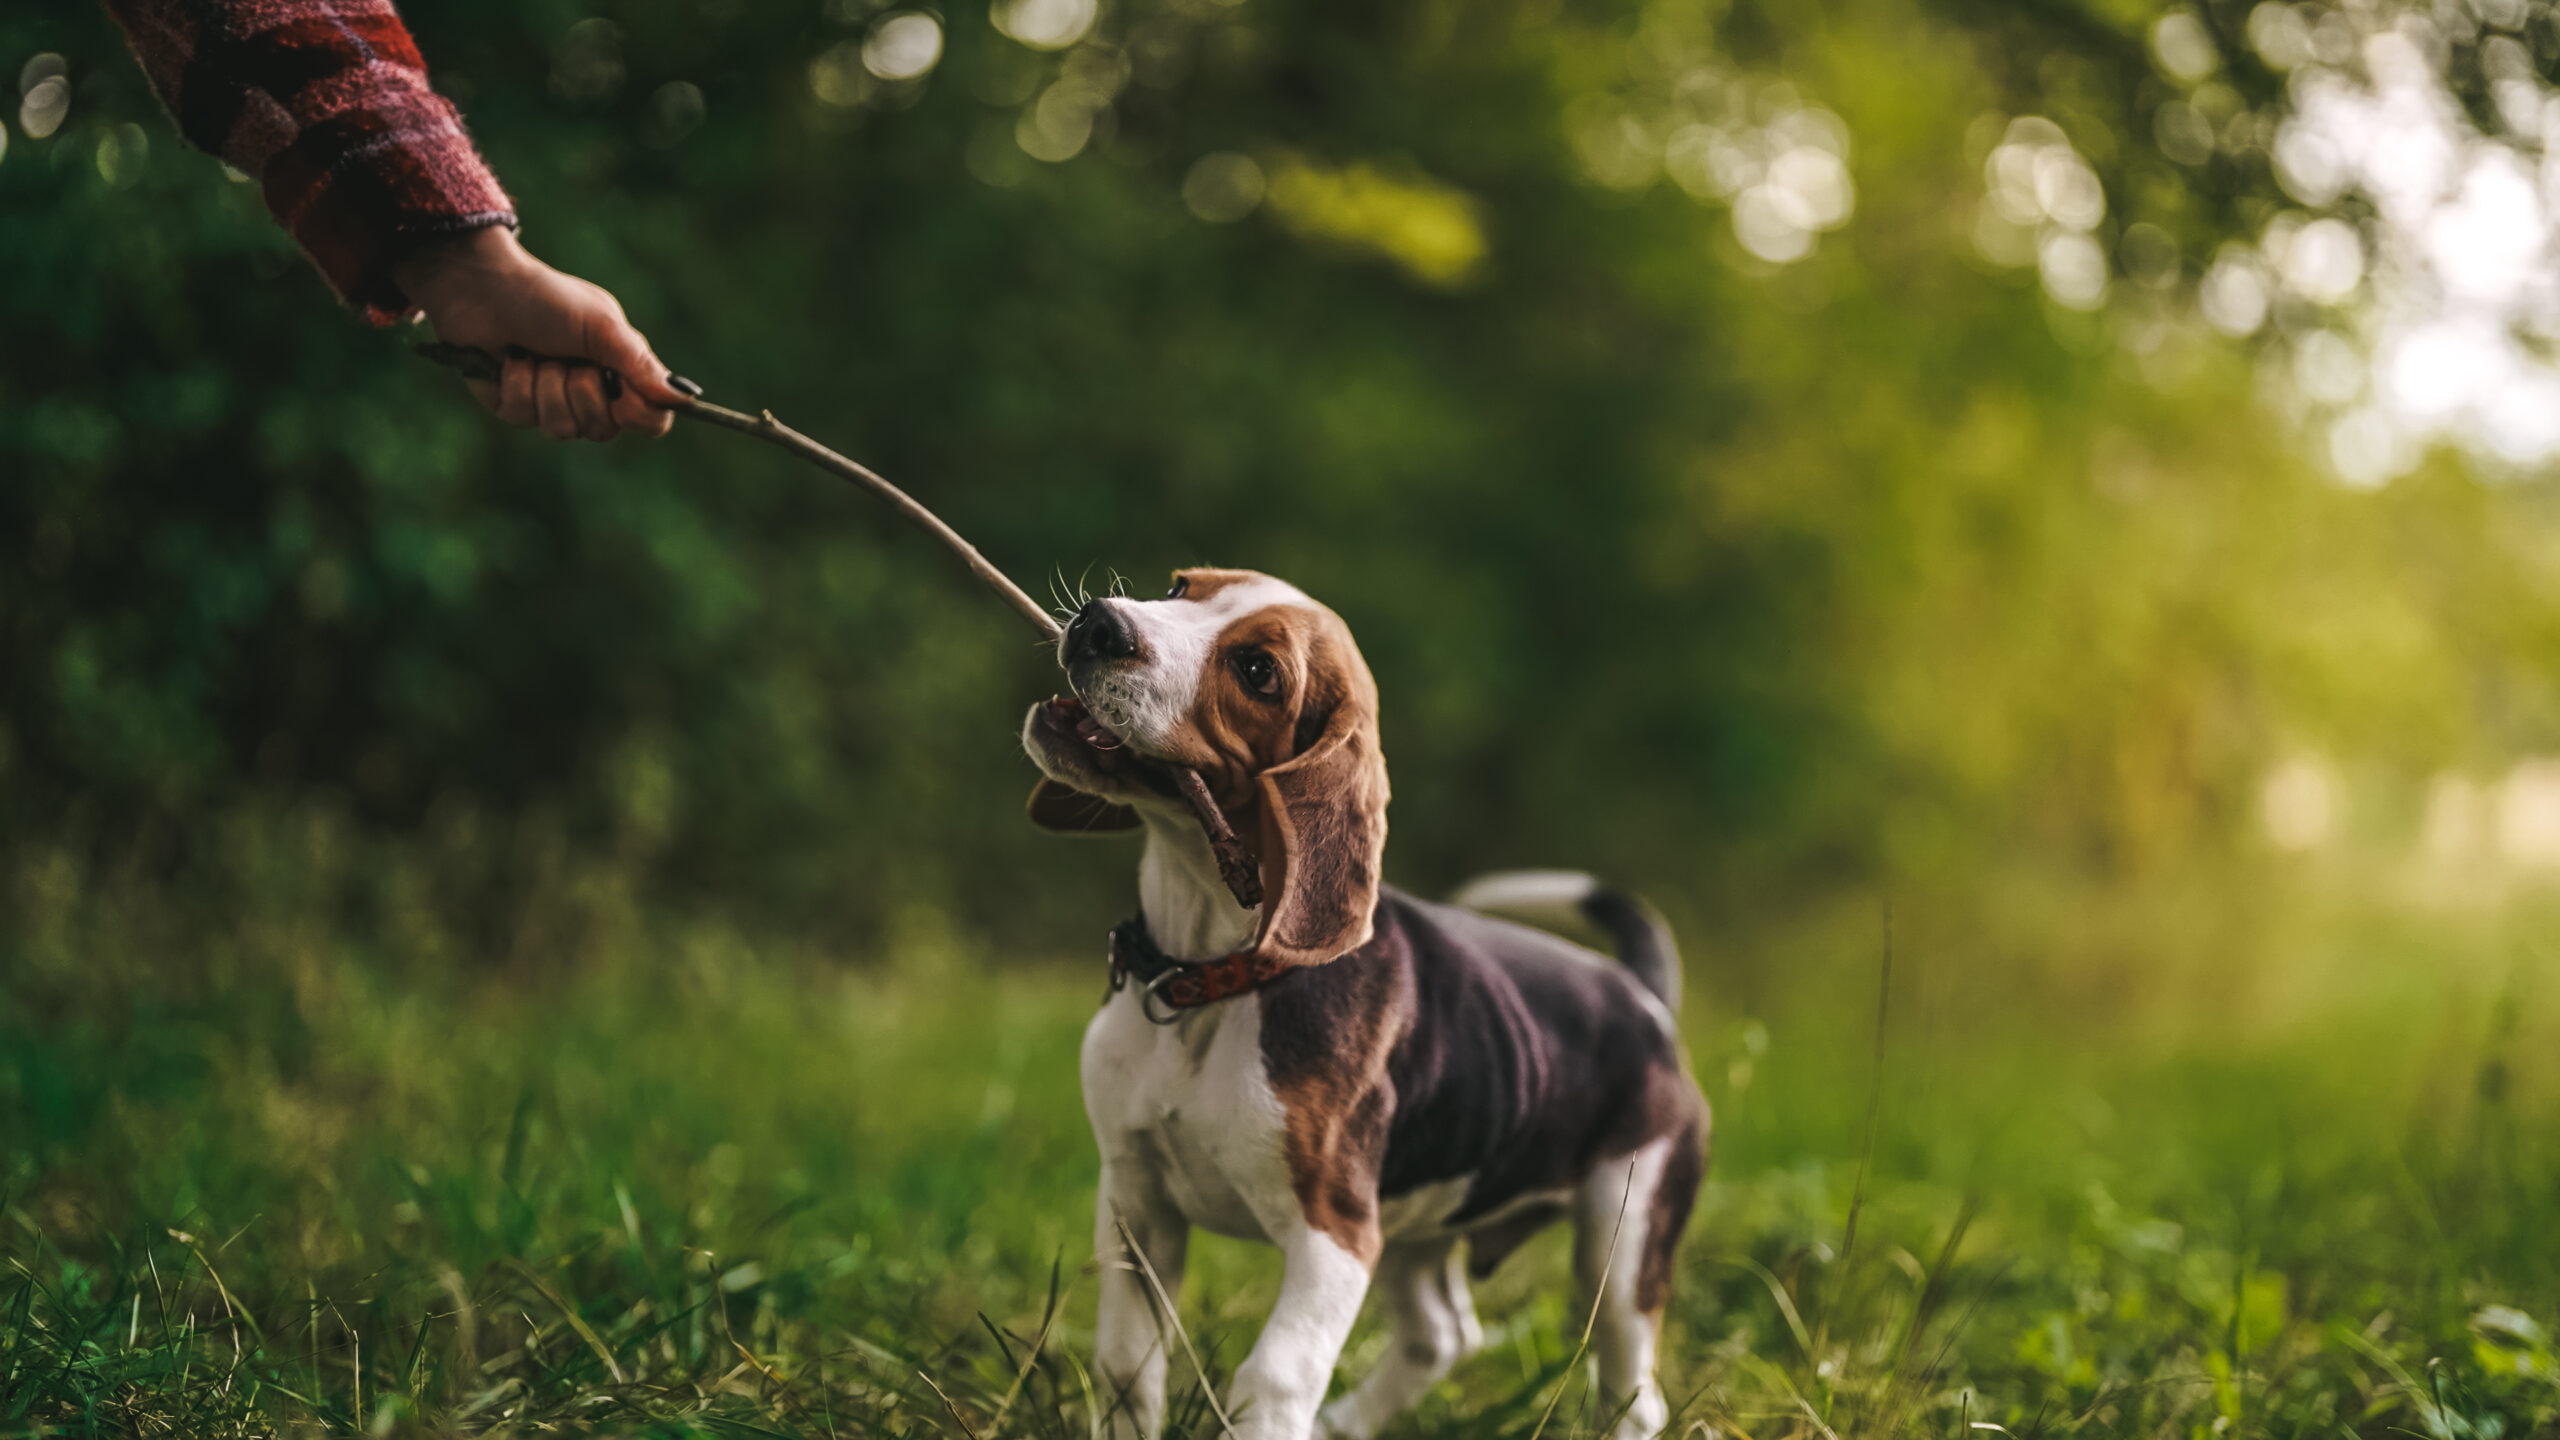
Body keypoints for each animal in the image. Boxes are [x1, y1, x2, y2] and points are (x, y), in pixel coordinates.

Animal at [1013, 566, 1699, 1434]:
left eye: (1257, 672)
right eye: (1178, 588)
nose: (1102, 623)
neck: (1210, 975)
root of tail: (1644, 999)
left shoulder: (1334, 1235)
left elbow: (1273, 1375)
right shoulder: (1136, 1202)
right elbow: (1127, 1367)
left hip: (1625, 1236)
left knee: (1632, 1391)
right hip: (1417, 1220)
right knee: (1444, 1334)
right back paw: (1346, 1423)